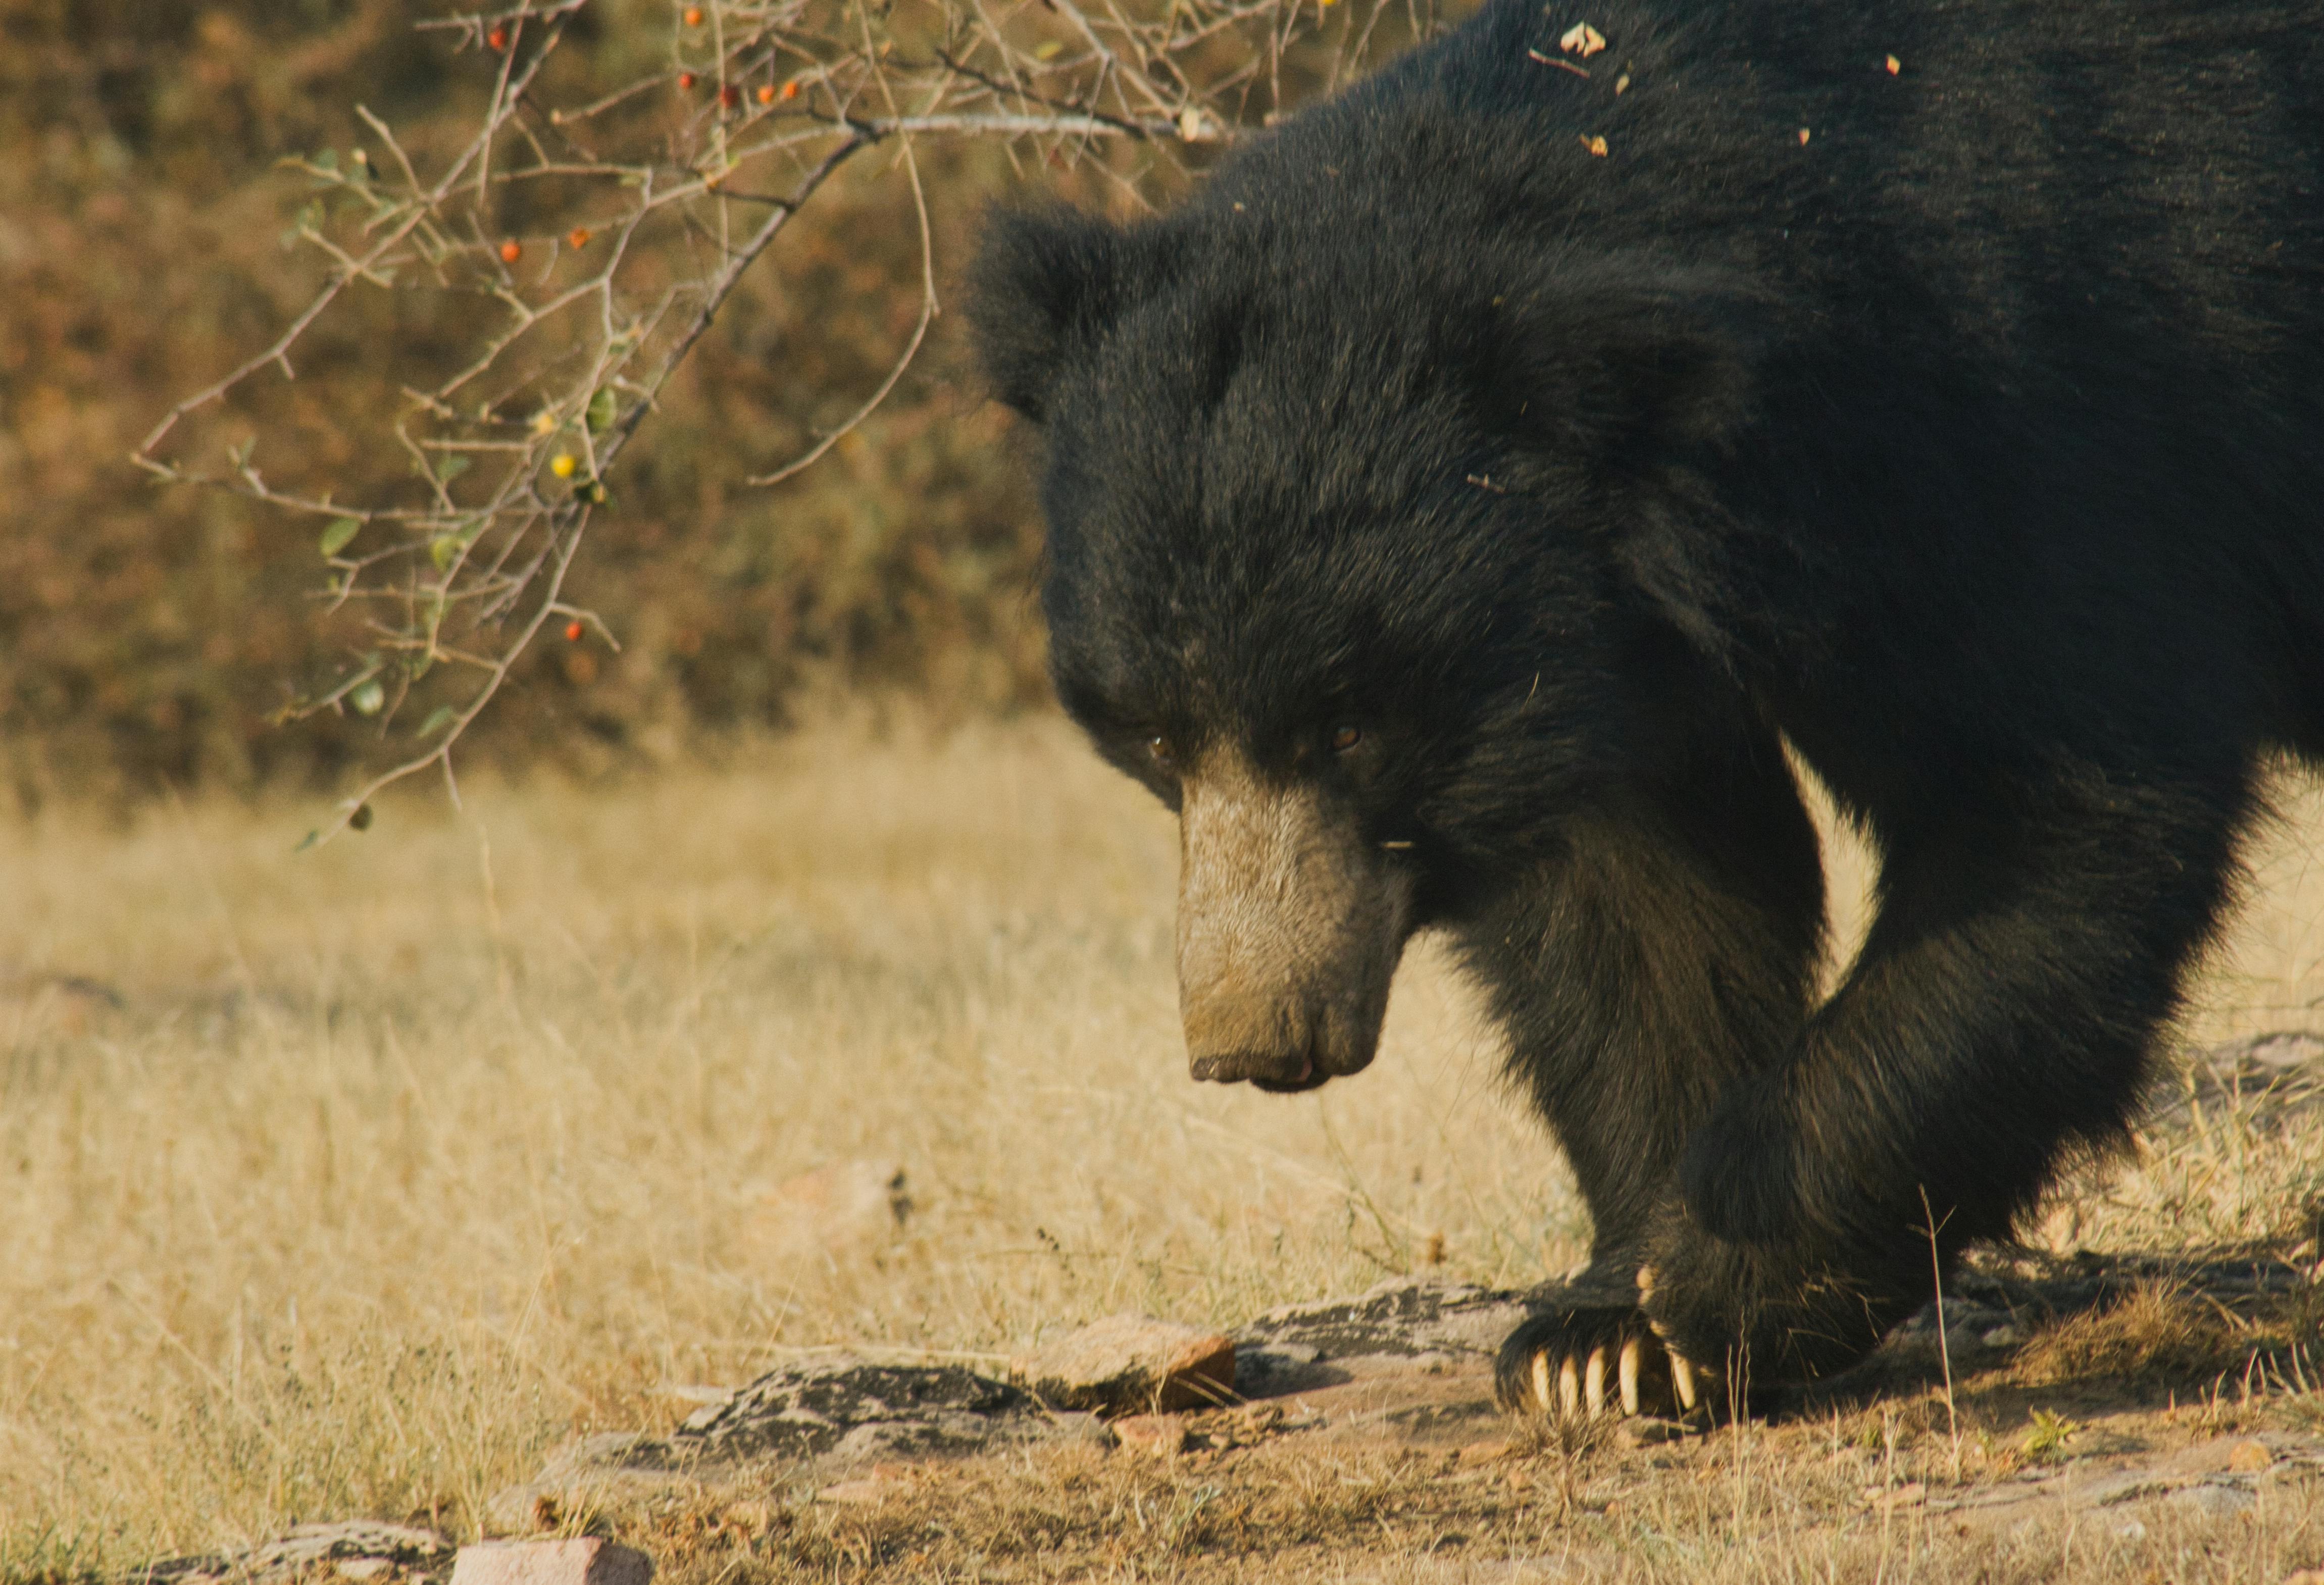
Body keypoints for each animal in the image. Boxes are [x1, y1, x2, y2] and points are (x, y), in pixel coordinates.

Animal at [962, 0, 2324, 1413]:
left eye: (1349, 725)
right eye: (1159, 735)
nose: (1256, 1040)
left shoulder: (2022, 425)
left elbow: (2054, 810)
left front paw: (1714, 1290)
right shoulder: (1609, 644)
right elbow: (1642, 916)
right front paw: (1602, 1341)